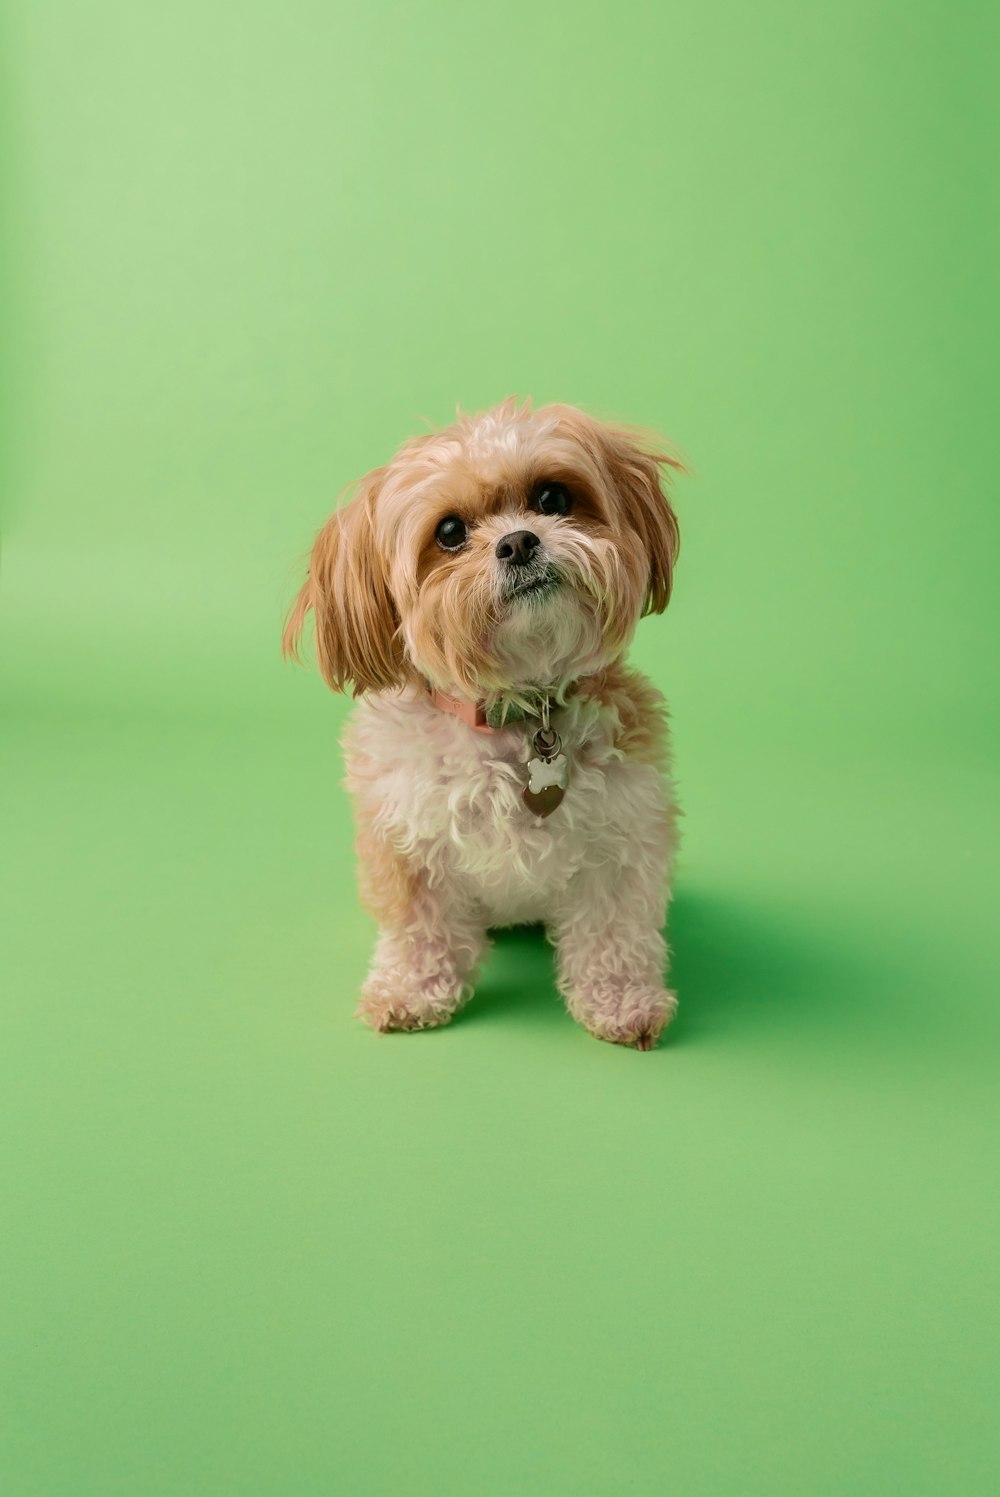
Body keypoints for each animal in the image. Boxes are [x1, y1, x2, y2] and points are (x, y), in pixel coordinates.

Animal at [284, 398, 682, 1053]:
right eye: (449, 533)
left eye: (552, 497)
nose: (518, 541)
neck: (517, 712)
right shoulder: (408, 845)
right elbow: (420, 932)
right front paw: (412, 991)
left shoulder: (620, 844)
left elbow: (612, 936)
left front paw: (622, 1000)